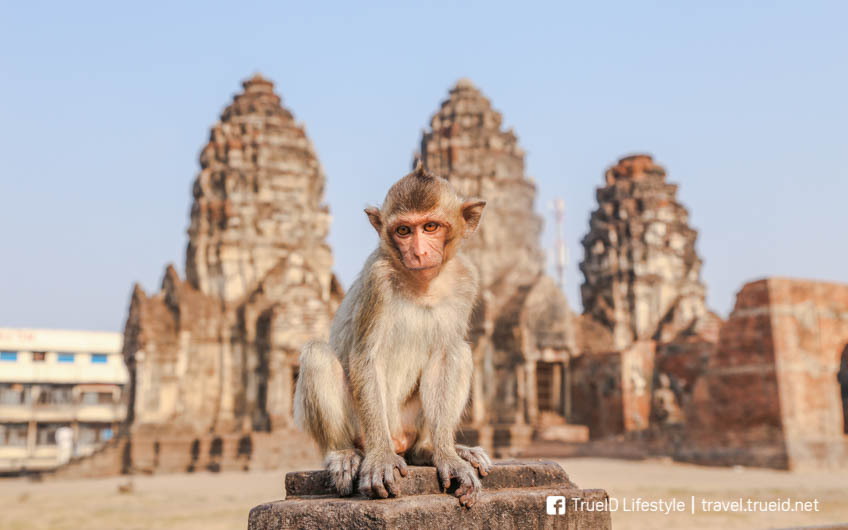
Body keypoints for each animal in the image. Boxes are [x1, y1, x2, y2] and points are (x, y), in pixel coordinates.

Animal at [294, 163, 494, 506]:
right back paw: (345, 453)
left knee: (461, 352)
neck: (422, 284)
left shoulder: (466, 279)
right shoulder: (378, 280)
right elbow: (365, 356)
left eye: (430, 227)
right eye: (403, 231)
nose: (419, 252)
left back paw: (430, 450)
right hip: (364, 426)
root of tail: (400, 440)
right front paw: (380, 460)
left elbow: (446, 357)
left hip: (409, 422)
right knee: (317, 354)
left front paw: (448, 457)